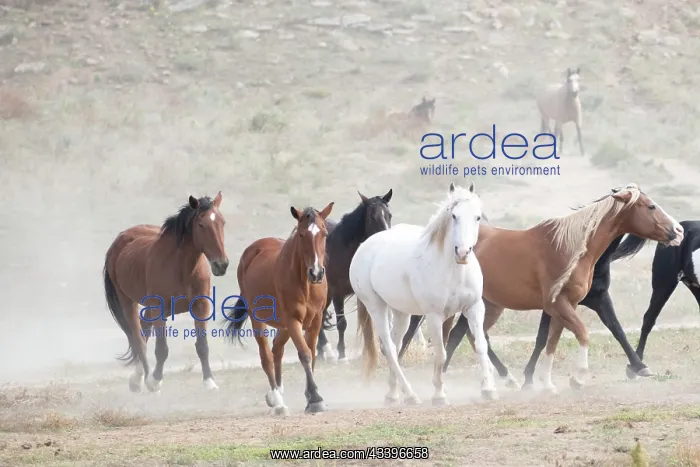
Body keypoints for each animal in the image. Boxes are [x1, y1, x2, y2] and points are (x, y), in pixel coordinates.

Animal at [103, 192, 229, 393]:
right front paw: (154, 381)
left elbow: (202, 346)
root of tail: (121, 238)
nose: (221, 264)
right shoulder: (160, 309)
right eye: (201, 225)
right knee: (139, 339)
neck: (182, 268)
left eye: (222, 222)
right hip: (128, 302)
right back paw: (144, 378)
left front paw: (209, 382)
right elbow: (162, 349)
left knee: (144, 330)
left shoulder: (201, 307)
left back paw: (137, 378)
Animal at [223, 202, 334, 416]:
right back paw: (277, 401)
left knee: (277, 349)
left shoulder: (315, 320)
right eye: (301, 234)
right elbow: (305, 354)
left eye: (324, 233)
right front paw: (315, 399)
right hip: (259, 319)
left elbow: (312, 353)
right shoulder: (293, 320)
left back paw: (278, 393)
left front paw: (311, 395)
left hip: (284, 326)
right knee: (267, 356)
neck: (304, 283)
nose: (316, 273)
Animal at [314, 189, 394, 363]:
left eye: (389, 215)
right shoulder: (337, 293)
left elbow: (368, 322)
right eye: (372, 217)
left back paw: (321, 351)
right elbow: (342, 323)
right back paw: (327, 350)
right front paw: (342, 355)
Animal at [351, 182, 497, 406]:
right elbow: (440, 354)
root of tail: (364, 247)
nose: (463, 252)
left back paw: (393, 394)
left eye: (478, 217)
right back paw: (410, 394)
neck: (453, 271)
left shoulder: (473, 308)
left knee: (395, 345)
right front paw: (439, 394)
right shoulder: (434, 316)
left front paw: (488, 389)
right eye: (454, 216)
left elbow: (481, 347)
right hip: (376, 307)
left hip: (401, 313)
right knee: (390, 348)